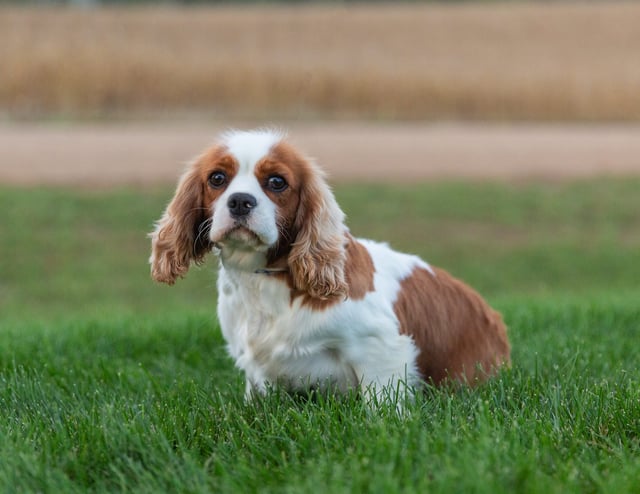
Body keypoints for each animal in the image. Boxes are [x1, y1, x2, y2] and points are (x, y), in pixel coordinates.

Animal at [150, 129, 510, 404]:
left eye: (277, 182)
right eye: (217, 178)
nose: (240, 201)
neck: (265, 278)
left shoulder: (381, 348)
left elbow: (381, 407)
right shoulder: (256, 370)